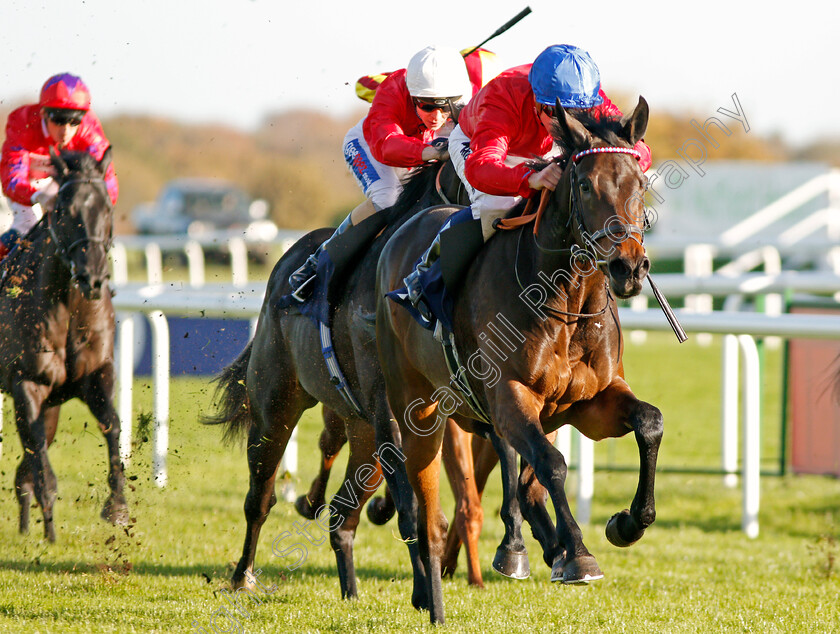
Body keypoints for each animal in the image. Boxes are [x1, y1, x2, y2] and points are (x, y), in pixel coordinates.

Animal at [0, 147, 128, 540]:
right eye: (64, 211)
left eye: (107, 210)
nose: (93, 277)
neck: (69, 308)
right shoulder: (26, 383)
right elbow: (38, 451)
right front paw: (50, 523)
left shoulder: (96, 376)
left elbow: (112, 425)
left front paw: (117, 506)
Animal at [376, 99, 664, 624]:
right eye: (585, 184)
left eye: (640, 181)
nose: (629, 268)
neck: (566, 302)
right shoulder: (509, 395)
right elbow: (551, 464)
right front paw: (579, 555)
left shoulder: (590, 402)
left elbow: (649, 423)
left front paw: (627, 523)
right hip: (418, 405)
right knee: (420, 496)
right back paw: (432, 589)